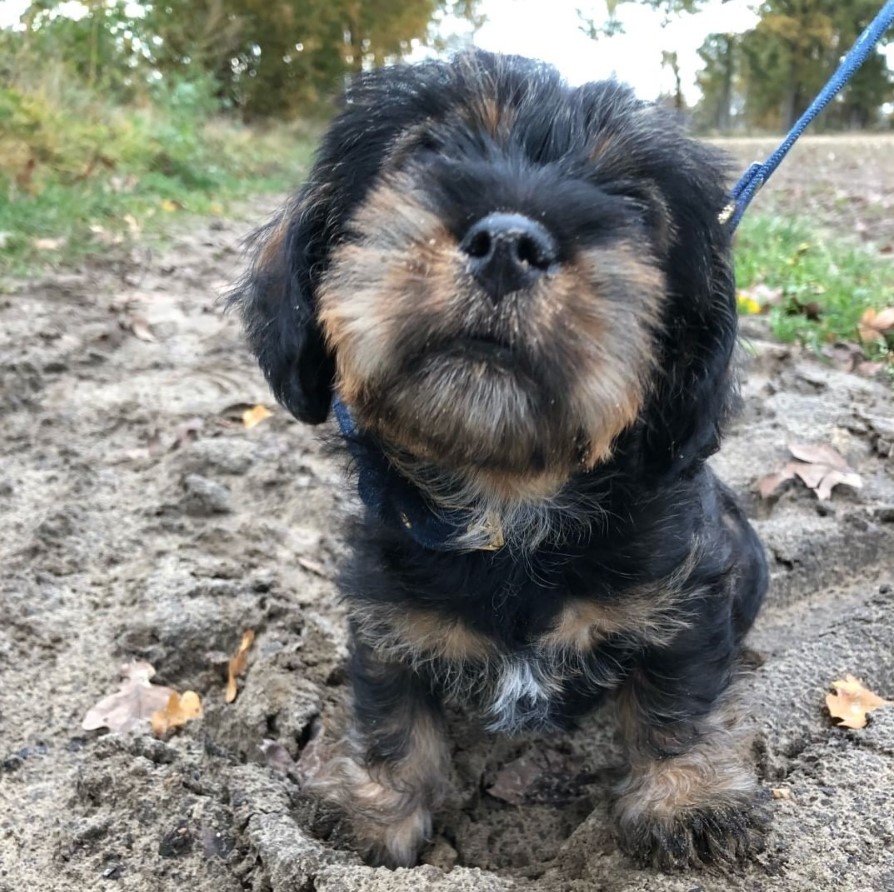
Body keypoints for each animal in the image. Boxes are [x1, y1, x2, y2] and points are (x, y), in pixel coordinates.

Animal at [231, 48, 768, 872]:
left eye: (632, 203)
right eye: (425, 152)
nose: (510, 243)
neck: (508, 509)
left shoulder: (687, 595)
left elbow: (677, 697)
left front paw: (690, 800)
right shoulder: (385, 613)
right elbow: (393, 713)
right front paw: (372, 811)